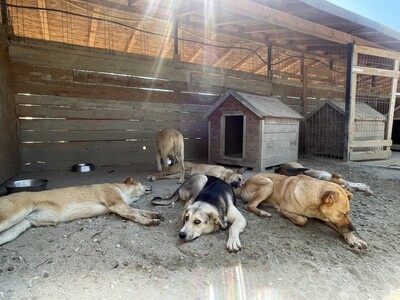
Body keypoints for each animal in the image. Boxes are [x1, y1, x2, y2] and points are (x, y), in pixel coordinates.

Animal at [0, 178, 163, 246]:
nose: (151, 186)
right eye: (141, 182)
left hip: (17, 227)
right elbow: (136, 214)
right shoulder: (118, 205)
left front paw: (153, 214)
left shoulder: (122, 206)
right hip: (11, 217)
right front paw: (150, 221)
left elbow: (140, 210)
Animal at [238, 172, 368, 250]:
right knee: (249, 206)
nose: (354, 228)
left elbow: (341, 228)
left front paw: (353, 238)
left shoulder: (329, 218)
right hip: (268, 184)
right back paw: (262, 212)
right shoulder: (284, 210)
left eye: (348, 212)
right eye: (342, 213)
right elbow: (302, 220)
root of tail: (243, 184)